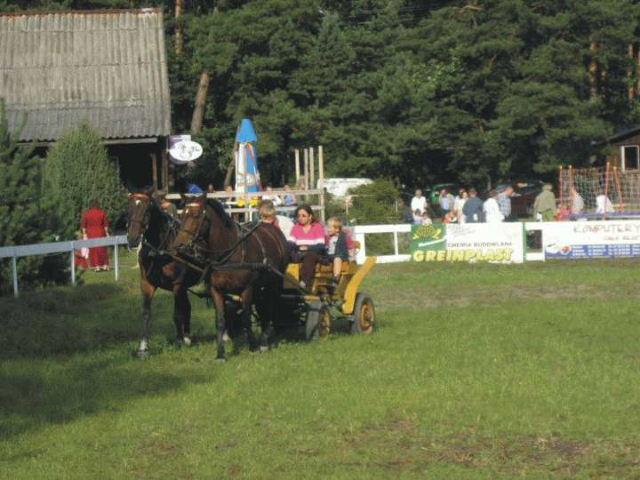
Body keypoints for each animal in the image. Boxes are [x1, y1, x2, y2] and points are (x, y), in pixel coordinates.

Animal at [127, 192, 201, 356]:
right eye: (129, 207)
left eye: (146, 210)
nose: (132, 239)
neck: (159, 250)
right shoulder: (147, 284)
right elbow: (146, 313)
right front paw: (143, 347)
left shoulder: (177, 284)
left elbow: (177, 314)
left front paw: (178, 341)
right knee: (188, 306)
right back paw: (187, 337)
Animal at [171, 195, 288, 360]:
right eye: (182, 215)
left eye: (196, 215)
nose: (177, 246)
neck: (229, 252)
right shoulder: (216, 290)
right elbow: (220, 320)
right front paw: (221, 353)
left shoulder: (247, 289)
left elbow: (246, 317)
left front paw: (253, 346)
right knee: (263, 307)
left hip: (274, 283)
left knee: (271, 307)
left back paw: (264, 341)